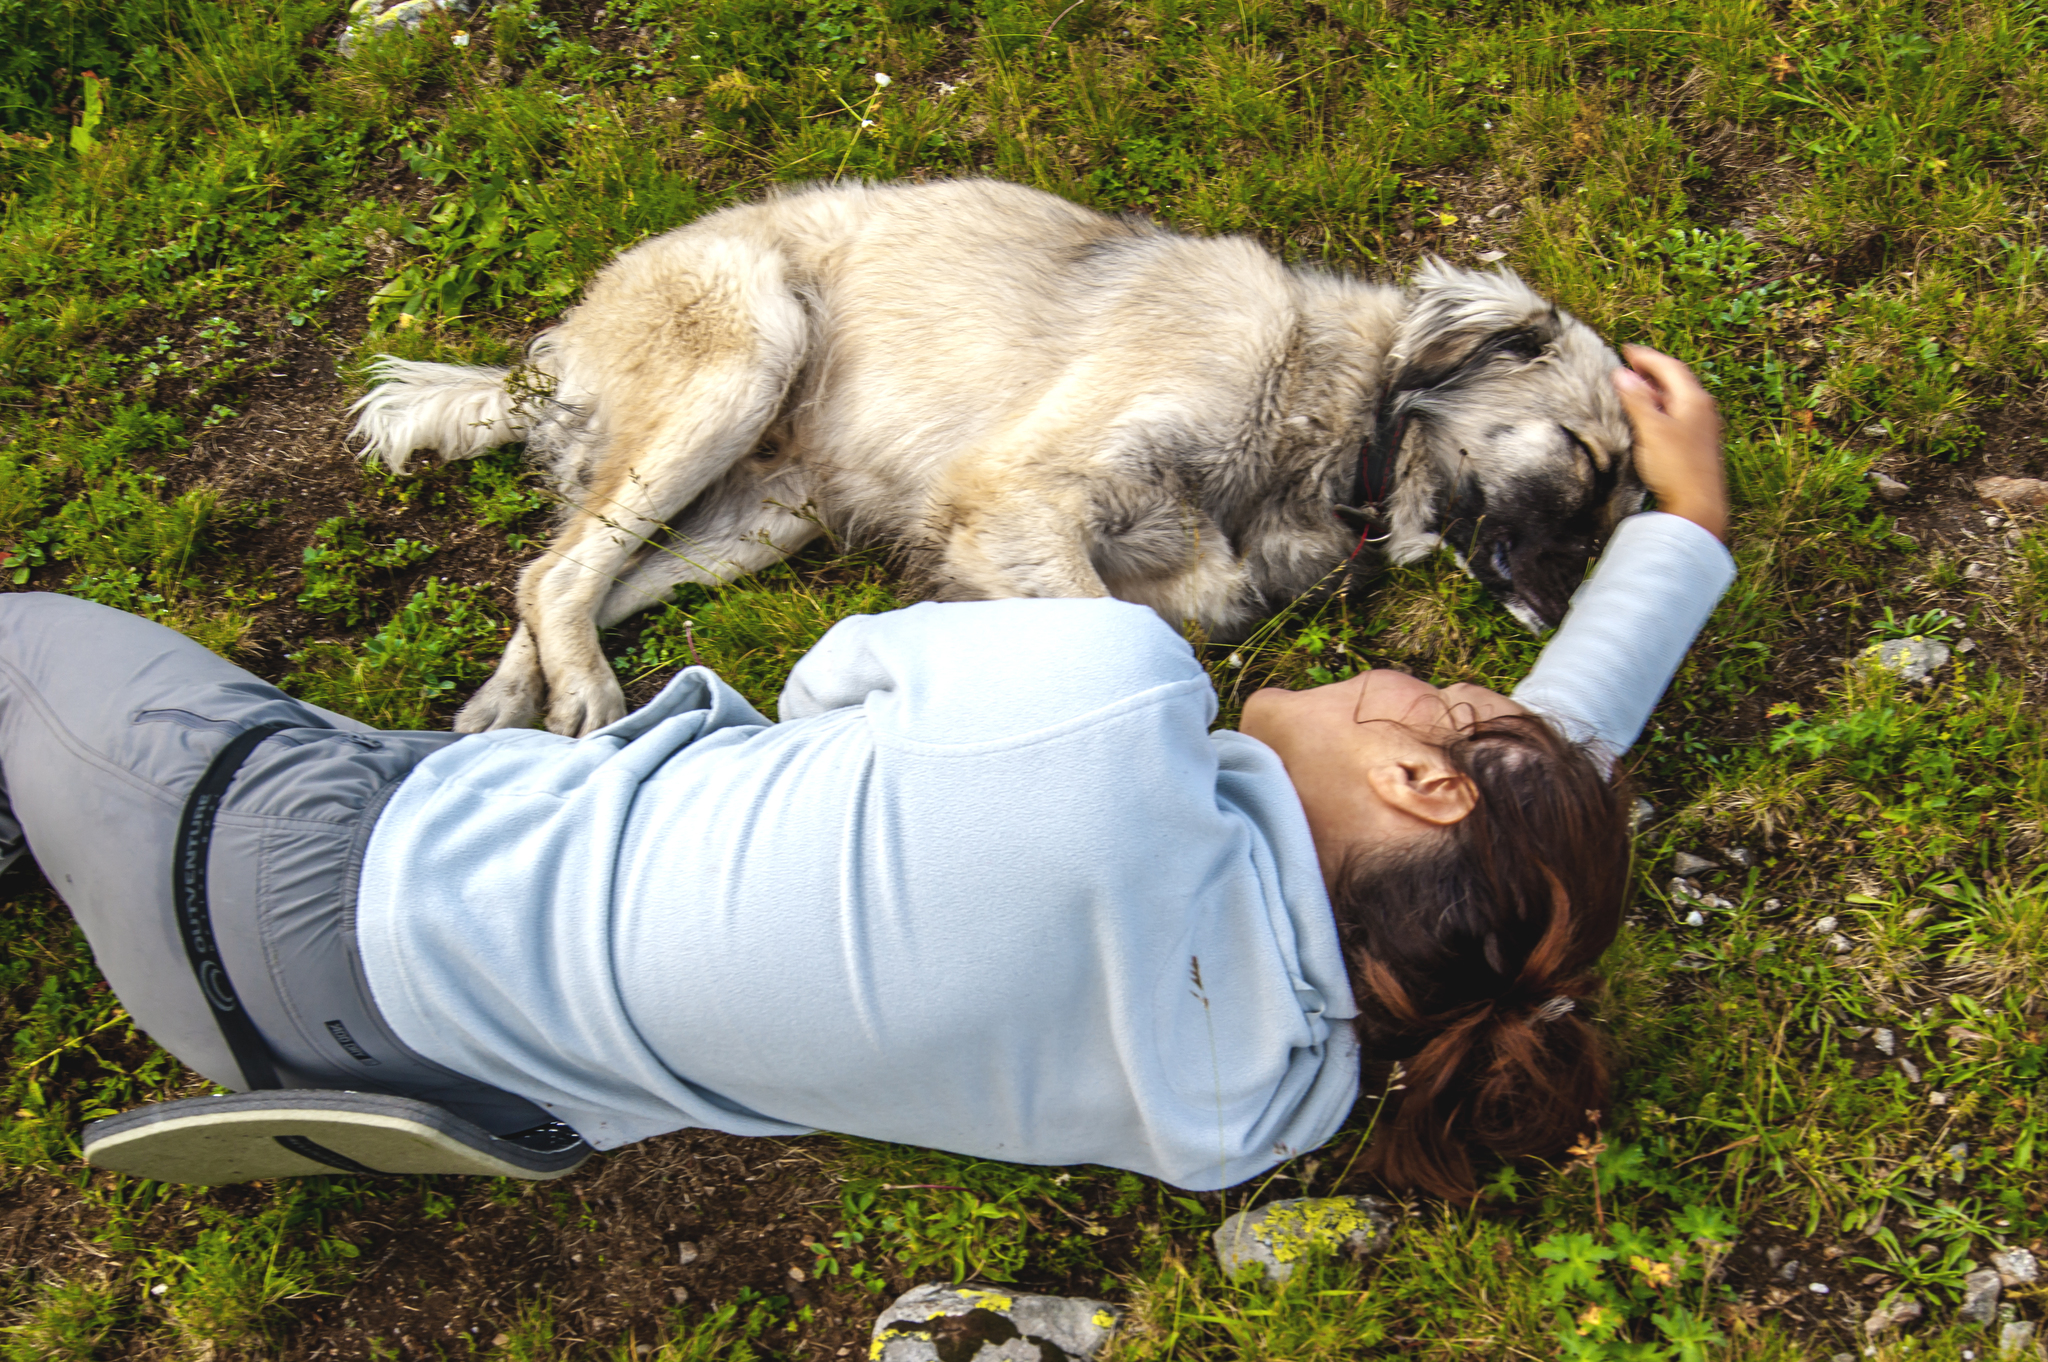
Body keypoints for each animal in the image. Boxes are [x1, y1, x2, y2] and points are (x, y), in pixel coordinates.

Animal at [348, 179, 1630, 737]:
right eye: (1584, 455)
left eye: (1617, 502)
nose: (1576, 608)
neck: (1335, 417)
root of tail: (559, 342)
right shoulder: (1017, 494)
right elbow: (1126, 648)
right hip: (745, 354)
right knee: (562, 569)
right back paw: (582, 699)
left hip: (761, 521)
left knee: (569, 579)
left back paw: (510, 700)